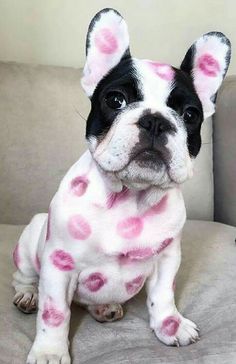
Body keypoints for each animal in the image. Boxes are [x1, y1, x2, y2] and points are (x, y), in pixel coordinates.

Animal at [12, 8, 230, 364]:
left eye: (190, 114)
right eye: (116, 99)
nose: (156, 120)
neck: (130, 197)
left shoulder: (167, 259)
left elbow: (163, 295)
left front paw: (170, 326)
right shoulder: (59, 267)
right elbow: (55, 313)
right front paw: (49, 352)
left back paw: (105, 307)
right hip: (31, 240)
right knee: (26, 278)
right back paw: (28, 296)